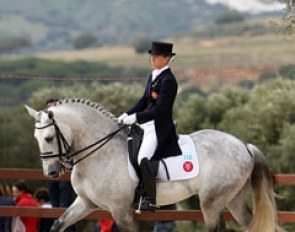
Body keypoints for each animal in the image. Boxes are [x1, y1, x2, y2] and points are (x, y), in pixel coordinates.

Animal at [25, 99, 284, 231]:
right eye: (36, 138)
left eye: (49, 137)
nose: (51, 172)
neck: (99, 152)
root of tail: (243, 145)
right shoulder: (87, 202)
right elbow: (58, 225)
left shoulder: (120, 210)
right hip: (232, 198)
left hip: (212, 201)